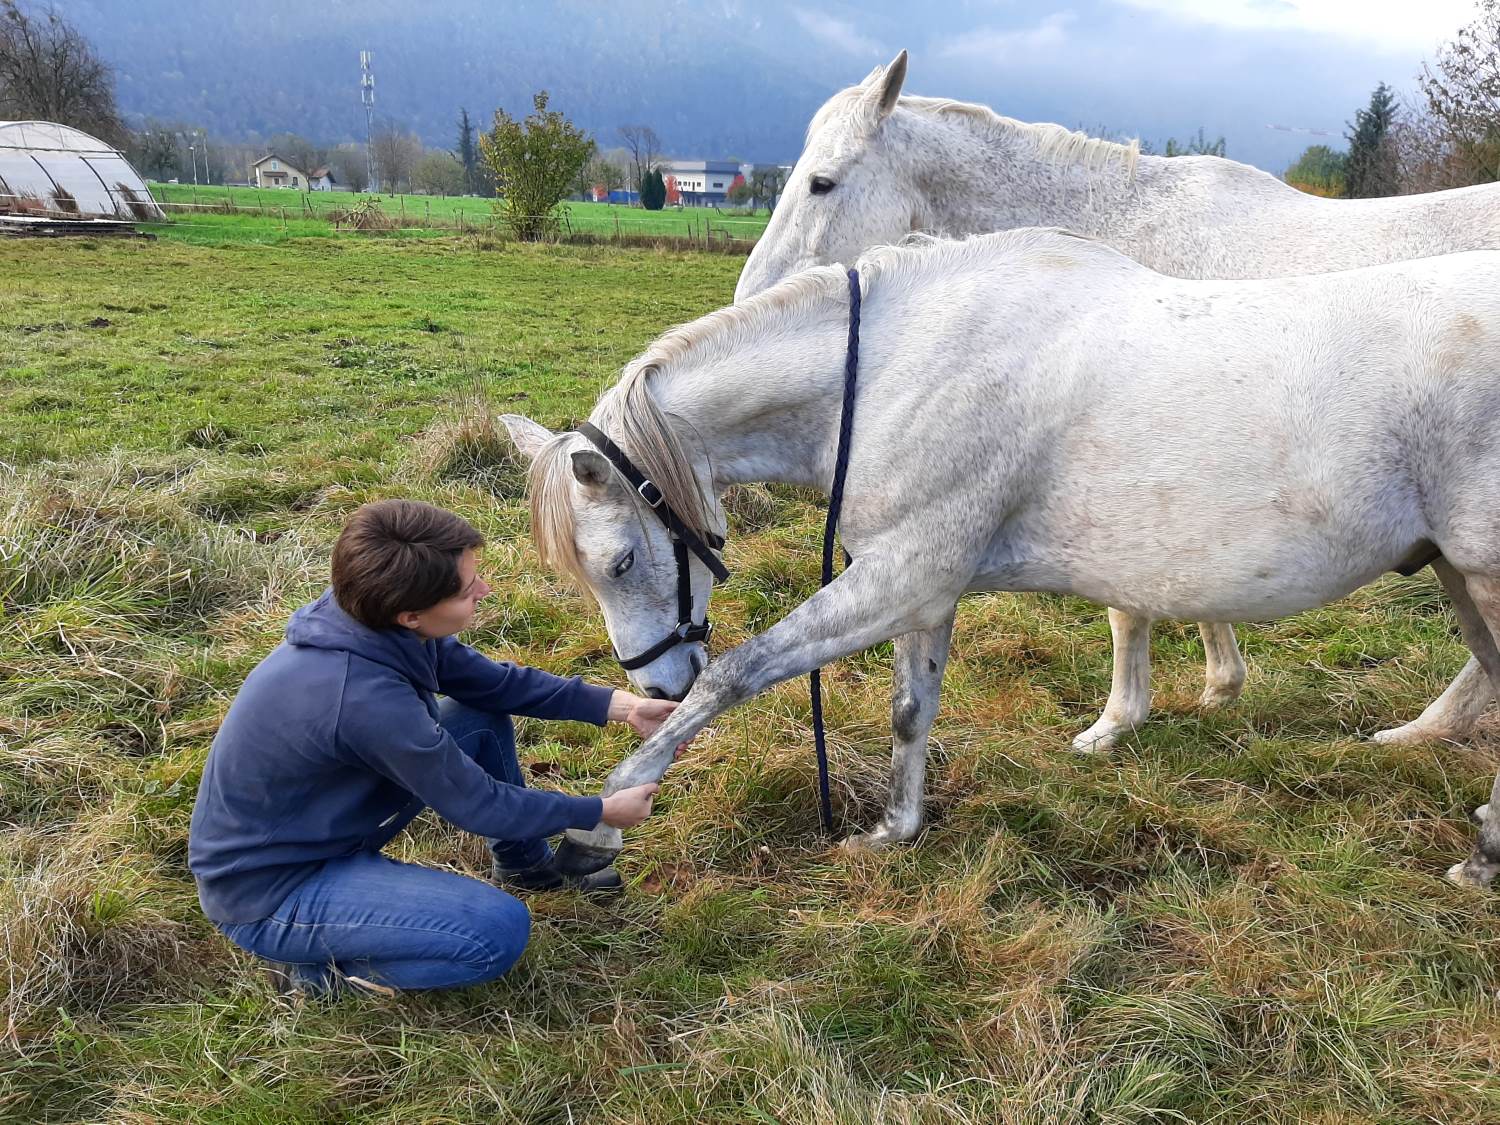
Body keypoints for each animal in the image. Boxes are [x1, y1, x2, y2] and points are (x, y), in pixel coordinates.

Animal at [507, 234, 1500, 894]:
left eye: (620, 560)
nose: (658, 683)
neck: (900, 365)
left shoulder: (902, 573)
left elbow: (743, 673)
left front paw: (605, 821)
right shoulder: (922, 587)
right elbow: (911, 709)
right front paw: (894, 830)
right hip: (1457, 571)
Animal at [741, 52, 1500, 759]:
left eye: (822, 182)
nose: (754, 298)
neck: (1123, 227)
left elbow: (1127, 611)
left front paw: (1116, 722)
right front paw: (1219, 684)